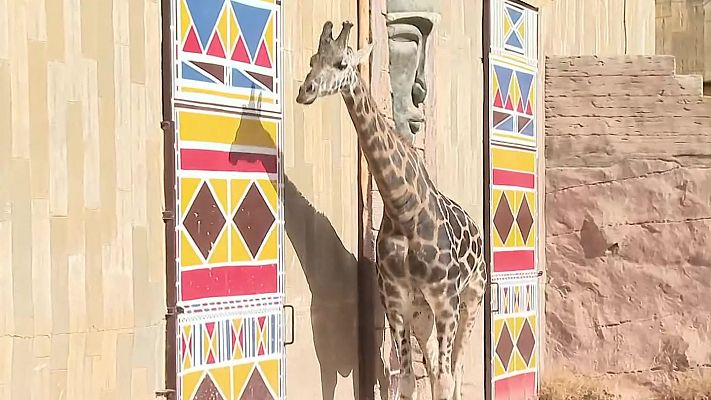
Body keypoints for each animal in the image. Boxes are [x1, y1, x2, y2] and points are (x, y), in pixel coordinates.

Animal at [295, 21, 487, 400]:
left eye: (341, 63)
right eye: (312, 59)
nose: (305, 91)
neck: (403, 209)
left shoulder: (446, 299)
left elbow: (444, 379)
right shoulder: (397, 300)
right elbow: (410, 380)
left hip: (472, 297)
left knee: (455, 370)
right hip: (422, 312)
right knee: (432, 367)